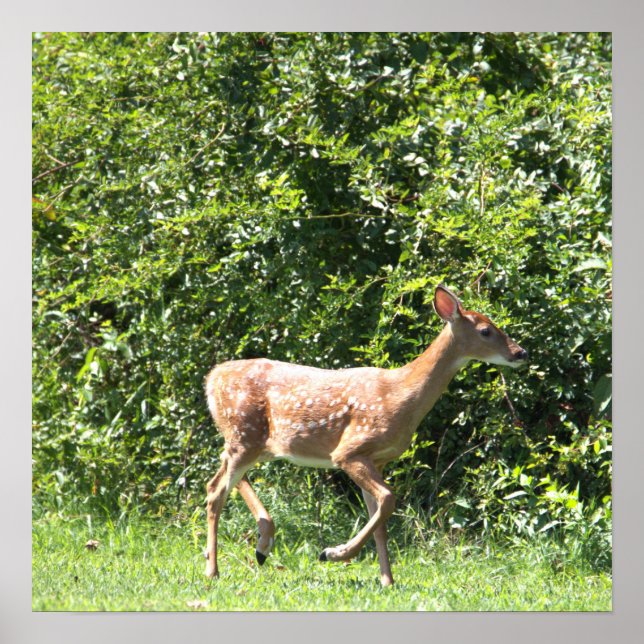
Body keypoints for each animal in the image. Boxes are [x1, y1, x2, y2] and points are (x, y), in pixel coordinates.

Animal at [203, 284, 527, 587]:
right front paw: (334, 553)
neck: (400, 396)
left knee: (216, 478)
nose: (521, 353)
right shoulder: (350, 451)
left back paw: (261, 545)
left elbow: (380, 518)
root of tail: (211, 378)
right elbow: (388, 499)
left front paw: (387, 580)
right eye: (486, 330)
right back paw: (214, 570)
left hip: (253, 442)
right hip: (245, 435)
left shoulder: (377, 459)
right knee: (216, 492)